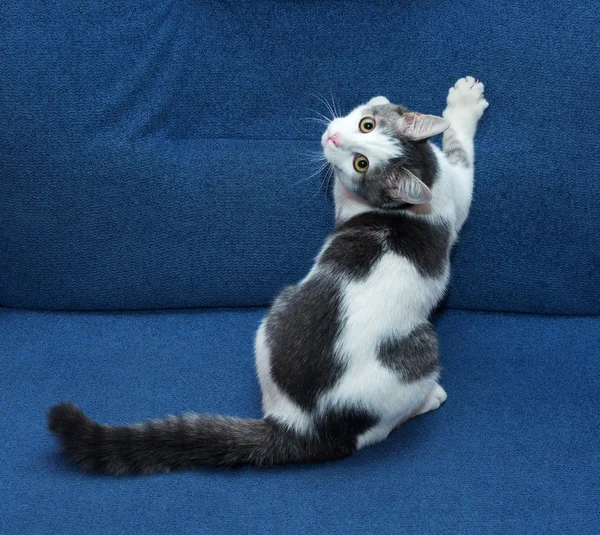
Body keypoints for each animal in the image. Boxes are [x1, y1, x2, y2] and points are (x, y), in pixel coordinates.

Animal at [47, 75, 488, 474]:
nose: (334, 140)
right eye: (366, 127)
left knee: (376, 432)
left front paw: (463, 105)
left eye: (361, 163)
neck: (423, 177)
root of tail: (300, 425)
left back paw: (429, 398)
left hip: (407, 345)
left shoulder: (455, 191)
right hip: (275, 319)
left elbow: (462, 150)